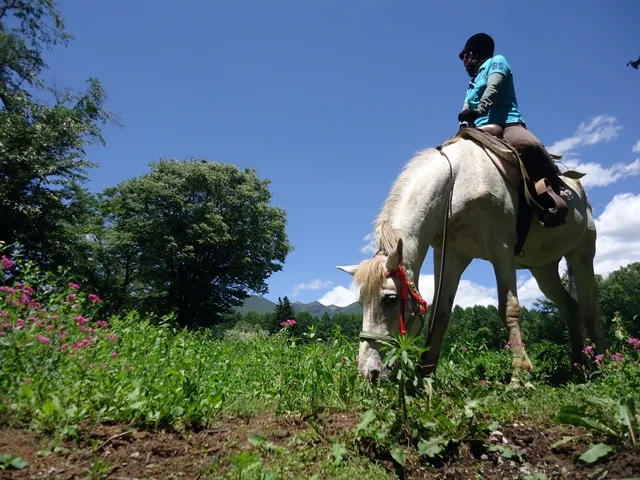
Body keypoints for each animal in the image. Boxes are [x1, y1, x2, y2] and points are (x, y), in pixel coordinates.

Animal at [338, 126, 608, 382]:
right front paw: (425, 378)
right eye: (361, 302)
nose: (368, 373)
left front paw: (520, 375)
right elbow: (440, 315)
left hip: (583, 253)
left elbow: (509, 309)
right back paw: (578, 366)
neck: (456, 183)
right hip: (544, 269)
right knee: (570, 308)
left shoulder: (502, 249)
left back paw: (602, 363)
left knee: (589, 308)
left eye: (390, 300)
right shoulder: (450, 257)